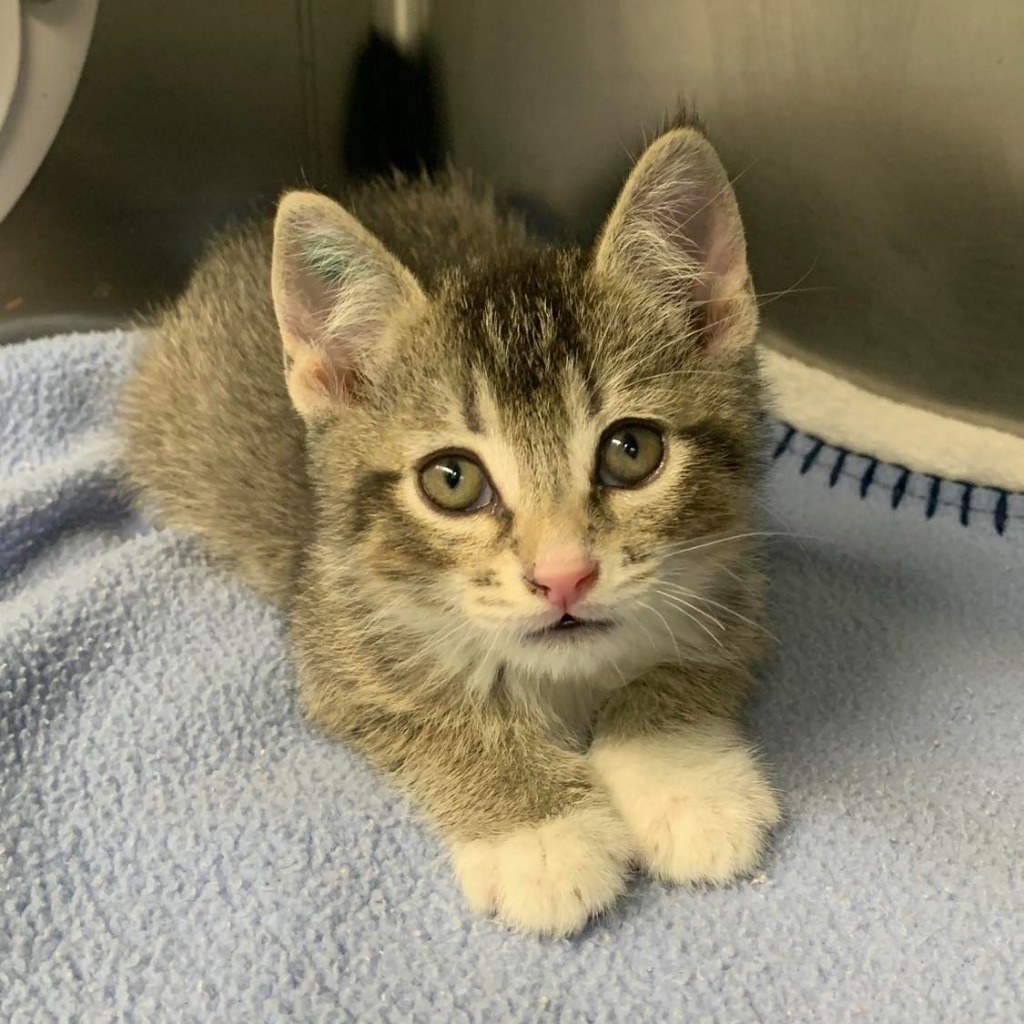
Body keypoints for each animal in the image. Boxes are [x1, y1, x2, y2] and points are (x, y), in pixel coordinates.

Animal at [119, 123, 778, 933]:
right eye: (453, 480)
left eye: (632, 451)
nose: (563, 576)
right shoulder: (335, 642)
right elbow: (435, 715)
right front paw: (542, 836)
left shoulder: (736, 582)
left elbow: (684, 667)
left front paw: (684, 784)